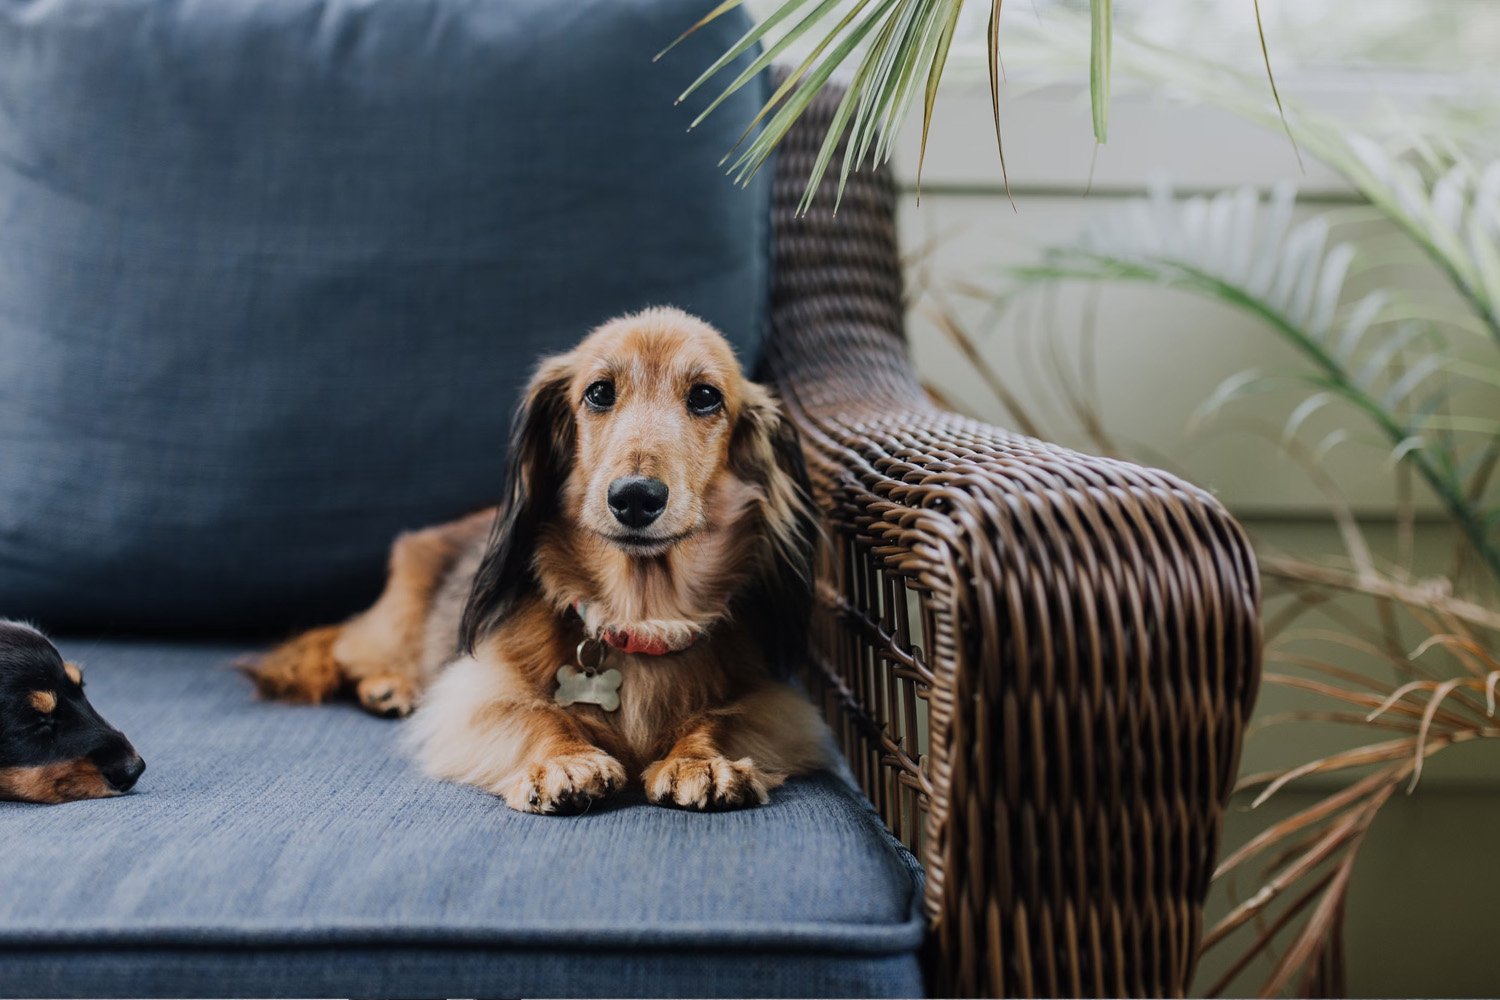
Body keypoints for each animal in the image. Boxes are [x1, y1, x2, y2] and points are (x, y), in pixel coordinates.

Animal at [249, 308, 834, 815]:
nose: (635, 497)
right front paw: (564, 762)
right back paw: (387, 686)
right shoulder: (478, 693)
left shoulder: (773, 703)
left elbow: (722, 716)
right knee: (346, 648)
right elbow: (537, 716)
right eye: (599, 392)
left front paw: (700, 759)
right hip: (394, 624)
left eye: (706, 397)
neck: (638, 616)